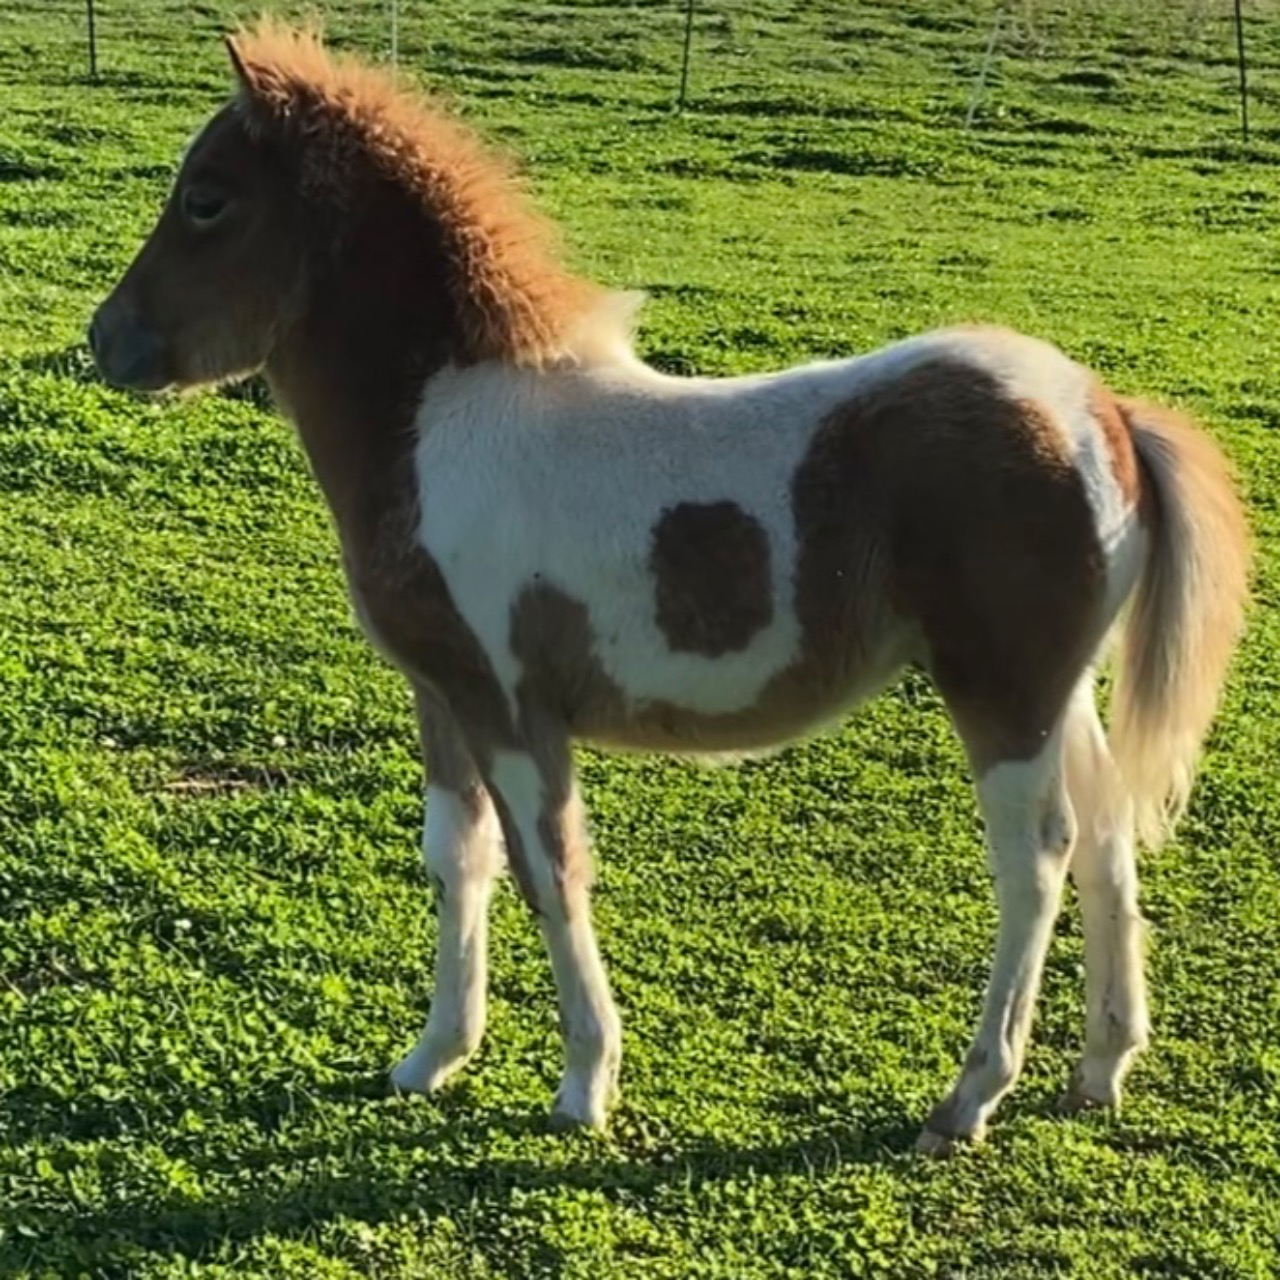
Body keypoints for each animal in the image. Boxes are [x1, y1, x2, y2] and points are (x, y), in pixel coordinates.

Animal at [90, 27, 1249, 1152]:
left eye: (206, 199)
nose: (104, 339)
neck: (443, 424)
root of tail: (1105, 411)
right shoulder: (444, 693)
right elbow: (457, 858)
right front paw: (432, 1058)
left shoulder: (513, 705)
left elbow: (550, 866)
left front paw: (582, 1084)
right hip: (1060, 690)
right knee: (1106, 833)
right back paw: (1099, 1068)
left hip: (999, 692)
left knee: (1036, 858)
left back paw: (967, 1097)